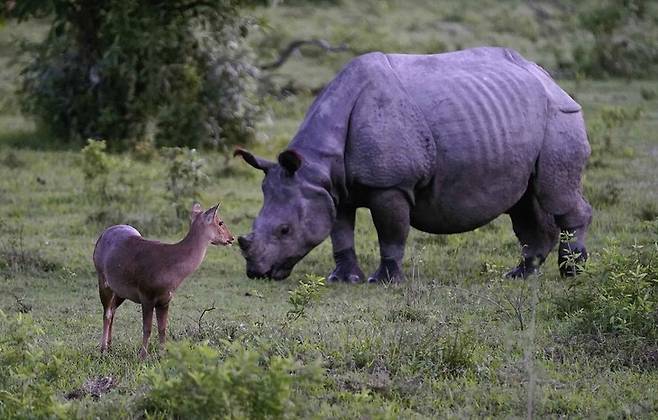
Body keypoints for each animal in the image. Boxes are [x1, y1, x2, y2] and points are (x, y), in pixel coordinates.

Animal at [92, 203, 233, 358]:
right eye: (220, 222)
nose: (231, 238)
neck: (170, 266)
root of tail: (102, 236)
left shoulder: (165, 299)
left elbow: (162, 328)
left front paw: (162, 355)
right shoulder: (146, 295)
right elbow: (147, 328)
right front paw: (142, 356)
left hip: (120, 291)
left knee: (112, 311)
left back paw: (110, 347)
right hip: (102, 280)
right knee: (107, 313)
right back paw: (103, 350)